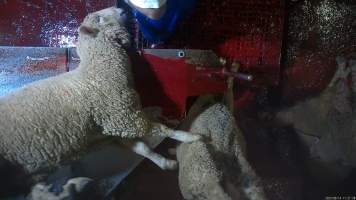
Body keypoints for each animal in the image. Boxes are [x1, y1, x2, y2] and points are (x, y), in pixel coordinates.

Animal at [0, 6, 199, 191]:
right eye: (99, 18)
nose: (122, 8)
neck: (99, 71)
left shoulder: (114, 128)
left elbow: (143, 149)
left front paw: (166, 163)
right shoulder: (125, 117)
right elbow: (163, 129)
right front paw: (191, 137)